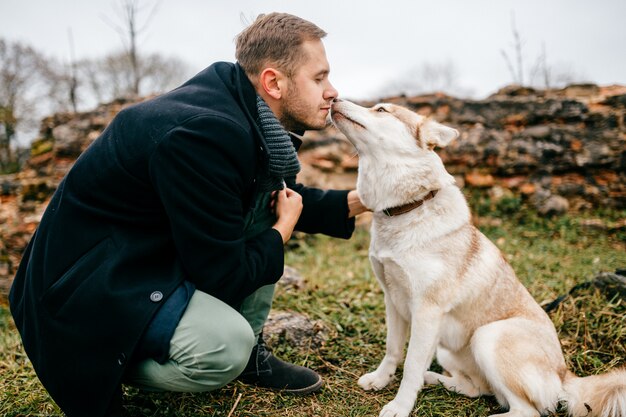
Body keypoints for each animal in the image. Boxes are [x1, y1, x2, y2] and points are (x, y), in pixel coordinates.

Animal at [330, 98, 624, 416]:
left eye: (381, 110)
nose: (333, 99)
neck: (408, 207)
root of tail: (564, 375)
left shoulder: (427, 311)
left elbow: (410, 366)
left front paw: (400, 405)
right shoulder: (392, 299)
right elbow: (393, 349)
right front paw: (381, 379)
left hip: (487, 336)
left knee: (526, 410)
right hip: (446, 349)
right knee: (477, 389)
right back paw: (436, 379)